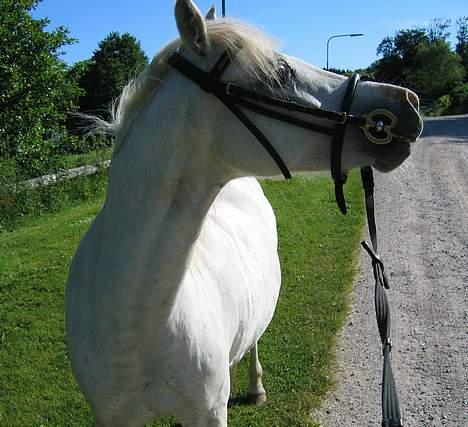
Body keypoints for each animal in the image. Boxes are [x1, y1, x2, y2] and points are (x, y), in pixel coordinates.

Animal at [66, 1, 424, 426]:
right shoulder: (114, 415)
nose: (408, 102)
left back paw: (255, 386)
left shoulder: (207, 413)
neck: (135, 317)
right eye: (280, 71)